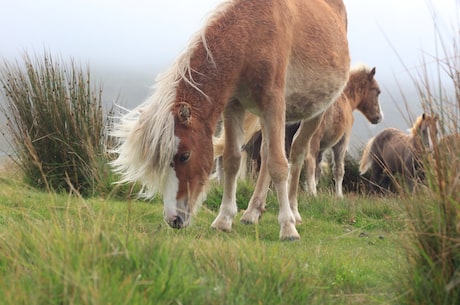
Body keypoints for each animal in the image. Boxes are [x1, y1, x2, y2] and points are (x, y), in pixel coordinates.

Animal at [111, 0, 348, 240]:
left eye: (185, 156)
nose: (173, 219)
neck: (253, 33)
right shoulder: (234, 106)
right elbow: (232, 161)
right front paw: (224, 219)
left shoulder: (274, 105)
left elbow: (279, 164)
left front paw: (287, 227)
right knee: (265, 153)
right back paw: (252, 212)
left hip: (314, 113)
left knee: (297, 153)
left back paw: (293, 212)